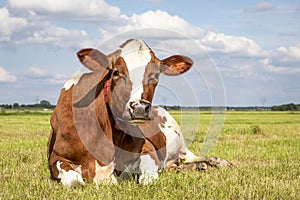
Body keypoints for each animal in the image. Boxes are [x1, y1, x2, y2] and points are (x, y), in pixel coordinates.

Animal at [47, 38, 230, 186]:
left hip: (181, 144)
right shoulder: (55, 157)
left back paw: (215, 162)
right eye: (116, 72)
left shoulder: (147, 148)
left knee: (190, 156)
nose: (140, 108)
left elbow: (148, 178)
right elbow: (74, 181)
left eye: (155, 75)